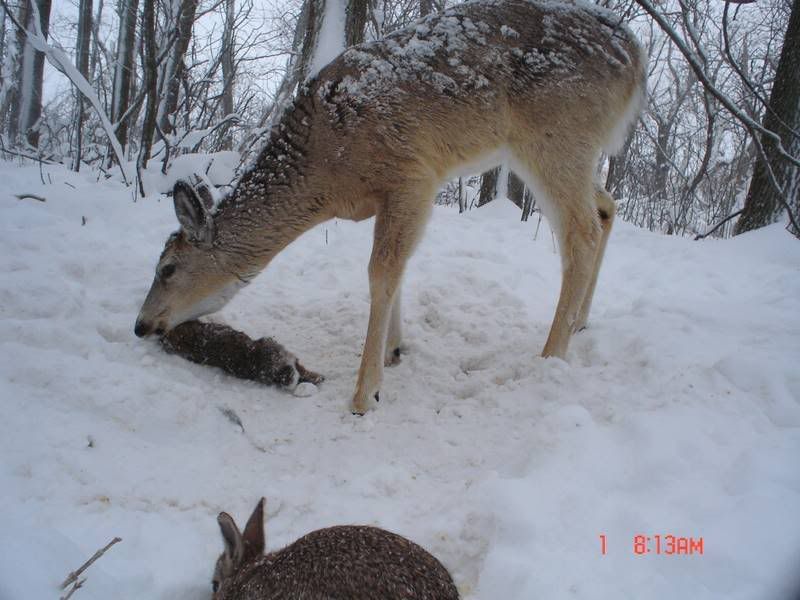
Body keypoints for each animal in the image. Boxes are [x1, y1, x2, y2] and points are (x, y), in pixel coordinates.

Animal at [135, 0, 647, 414]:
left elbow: (381, 272)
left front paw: (365, 393)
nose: (141, 325)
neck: (326, 173)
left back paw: (551, 354)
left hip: (555, 135)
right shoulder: (395, 193)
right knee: (606, 206)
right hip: (573, 148)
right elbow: (398, 267)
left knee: (581, 231)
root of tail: (635, 55)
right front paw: (394, 351)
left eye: (167, 268)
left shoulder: (411, 174)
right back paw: (580, 323)